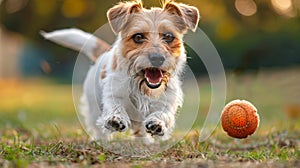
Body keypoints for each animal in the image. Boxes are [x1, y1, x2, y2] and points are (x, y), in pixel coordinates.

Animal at [40, 0, 199, 143]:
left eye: (168, 36)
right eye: (138, 37)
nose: (157, 58)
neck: (142, 87)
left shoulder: (166, 101)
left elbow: (163, 114)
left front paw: (157, 123)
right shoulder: (113, 94)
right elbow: (115, 107)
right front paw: (116, 119)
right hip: (93, 106)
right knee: (97, 126)